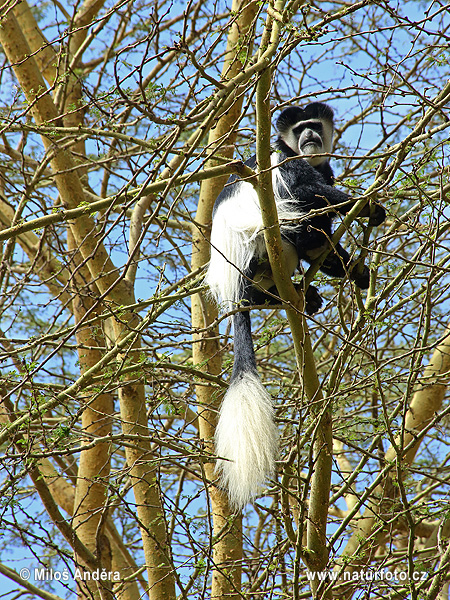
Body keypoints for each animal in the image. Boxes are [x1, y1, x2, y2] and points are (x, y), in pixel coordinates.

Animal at [206, 101, 384, 508]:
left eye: (314, 124)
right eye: (300, 129)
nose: (311, 136)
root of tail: (235, 281)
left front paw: (358, 272)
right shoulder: (286, 164)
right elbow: (307, 189)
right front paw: (368, 207)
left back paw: (309, 288)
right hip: (264, 241)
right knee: (300, 216)